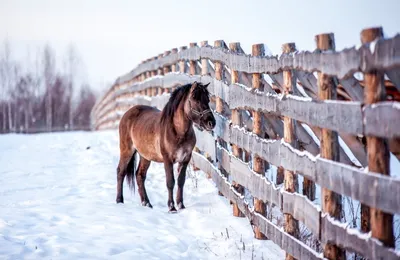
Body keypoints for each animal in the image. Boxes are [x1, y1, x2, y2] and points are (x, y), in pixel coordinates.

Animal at [115, 82, 216, 212]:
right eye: (195, 99)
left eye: (207, 99)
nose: (211, 123)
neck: (178, 132)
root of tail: (128, 113)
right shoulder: (167, 159)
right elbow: (170, 182)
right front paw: (172, 207)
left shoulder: (185, 159)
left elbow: (181, 181)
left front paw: (181, 205)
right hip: (126, 150)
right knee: (120, 172)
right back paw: (119, 201)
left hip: (145, 156)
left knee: (140, 175)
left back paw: (147, 203)